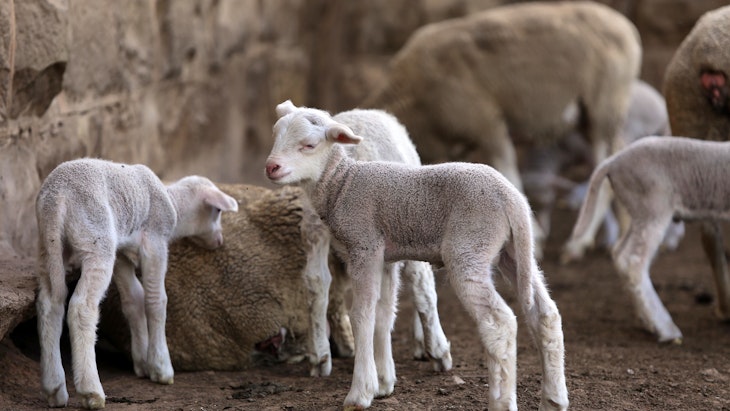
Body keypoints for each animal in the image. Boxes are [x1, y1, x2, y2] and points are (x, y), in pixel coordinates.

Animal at [35, 158, 239, 409]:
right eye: (217, 211)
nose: (219, 240)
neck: (173, 205)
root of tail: (57, 198)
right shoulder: (156, 242)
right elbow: (156, 301)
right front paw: (161, 368)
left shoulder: (122, 254)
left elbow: (134, 299)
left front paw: (142, 361)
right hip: (95, 238)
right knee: (81, 307)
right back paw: (91, 391)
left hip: (49, 247)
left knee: (50, 304)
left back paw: (54, 389)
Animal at [364, 1, 642, 256]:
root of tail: (626, 27)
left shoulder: (487, 124)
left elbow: (509, 175)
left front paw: (535, 239)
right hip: (589, 119)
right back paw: (619, 237)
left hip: (604, 109)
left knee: (604, 178)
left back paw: (578, 244)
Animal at [566, 136, 730, 343]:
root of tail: (613, 161)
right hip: (653, 206)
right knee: (634, 262)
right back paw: (666, 328)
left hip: (638, 212)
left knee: (620, 253)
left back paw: (648, 321)